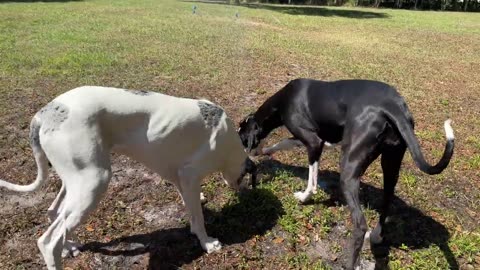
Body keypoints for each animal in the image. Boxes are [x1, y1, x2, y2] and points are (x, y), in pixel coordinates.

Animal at [0, 87, 256, 270]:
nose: (241, 190)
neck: (228, 139)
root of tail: (44, 114)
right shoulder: (190, 176)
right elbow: (199, 217)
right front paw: (207, 243)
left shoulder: (180, 179)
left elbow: (192, 210)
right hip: (94, 182)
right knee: (49, 241)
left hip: (76, 182)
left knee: (54, 213)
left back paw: (69, 246)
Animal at [238, 77, 456, 268]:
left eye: (241, 135)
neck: (283, 99)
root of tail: (393, 106)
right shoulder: (312, 140)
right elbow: (283, 143)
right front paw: (263, 152)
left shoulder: (313, 142)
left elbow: (312, 179)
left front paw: (304, 196)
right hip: (391, 164)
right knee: (386, 201)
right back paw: (376, 235)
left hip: (349, 168)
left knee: (359, 225)